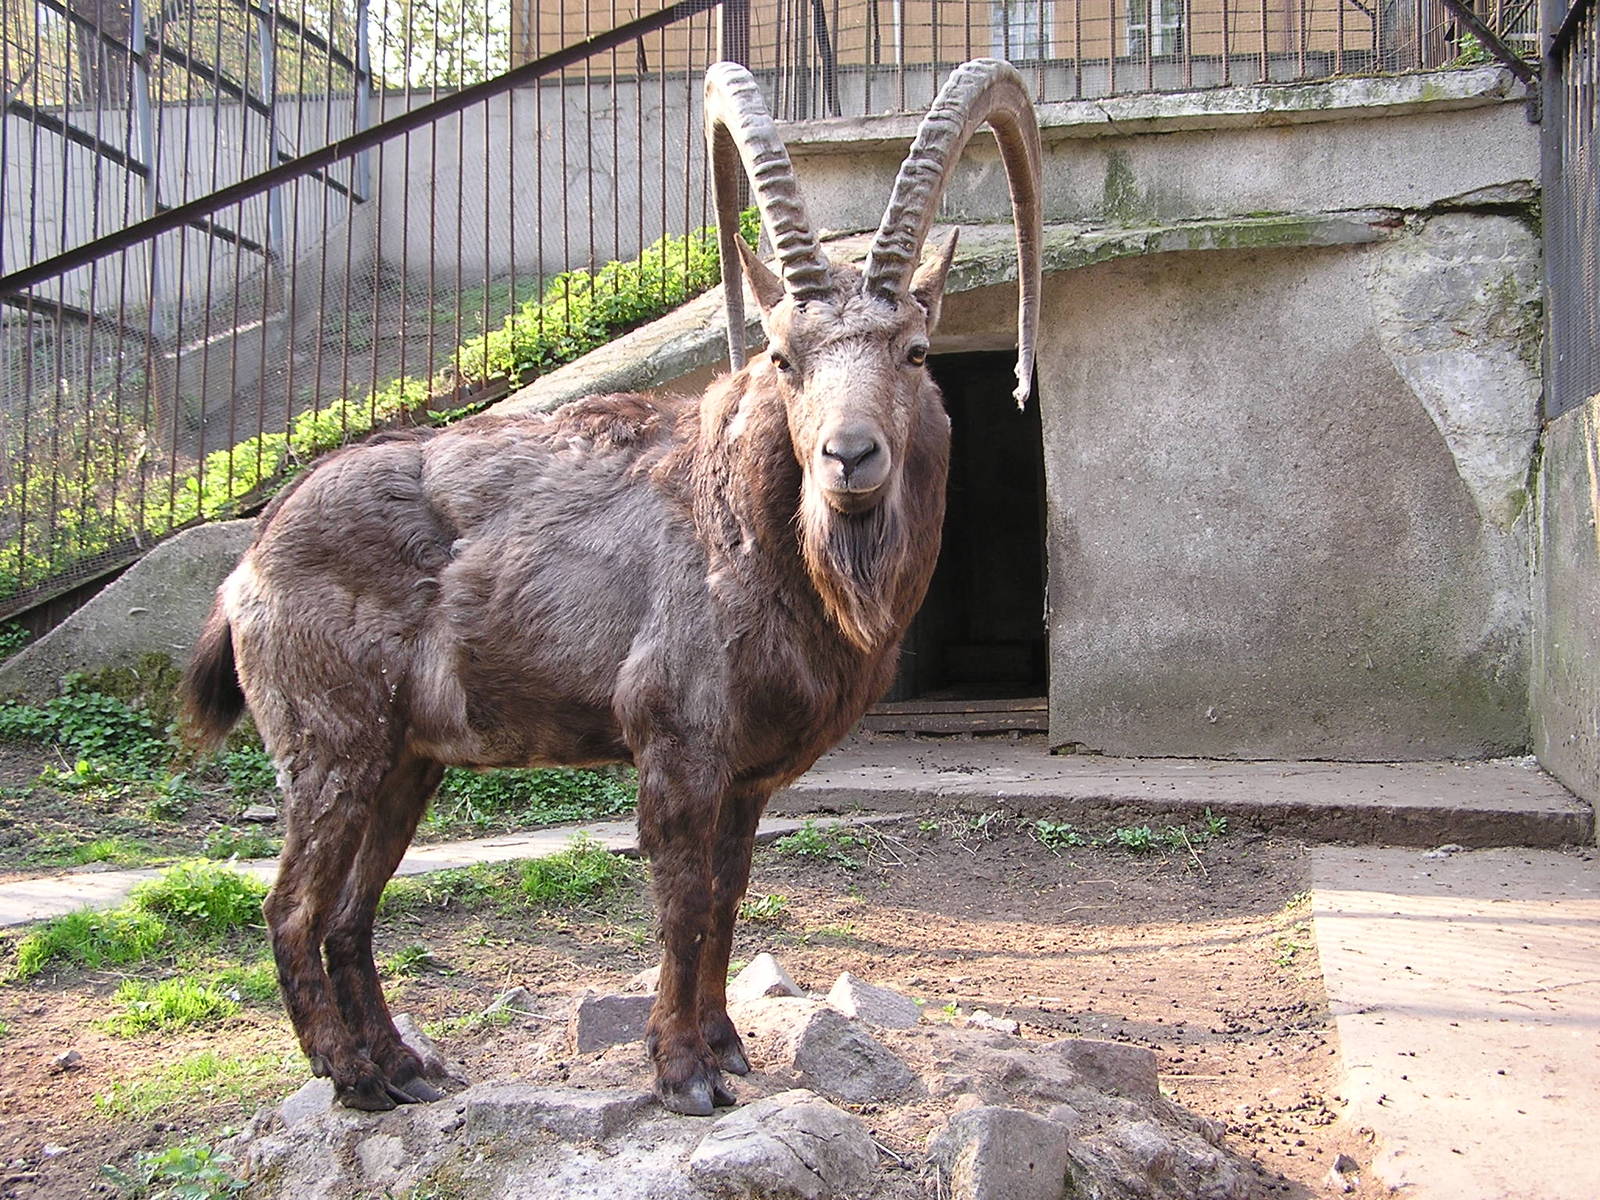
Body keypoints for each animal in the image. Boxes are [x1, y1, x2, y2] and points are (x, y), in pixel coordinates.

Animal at [180, 58, 1041, 1116]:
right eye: (783, 355)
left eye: (915, 352)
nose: (849, 457)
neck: (751, 538)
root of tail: (250, 559)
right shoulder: (675, 744)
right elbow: (681, 905)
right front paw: (681, 1073)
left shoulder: (747, 776)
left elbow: (727, 899)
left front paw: (727, 1046)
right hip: (331, 744)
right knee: (292, 905)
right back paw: (350, 1075)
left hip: (405, 762)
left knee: (351, 909)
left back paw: (406, 1066)